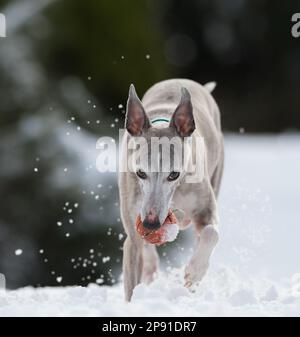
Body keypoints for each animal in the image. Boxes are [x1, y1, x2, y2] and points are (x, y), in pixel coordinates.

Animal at [118, 78, 224, 300]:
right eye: (140, 173)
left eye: (174, 174)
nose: (151, 224)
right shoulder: (133, 223)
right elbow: (134, 252)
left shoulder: (205, 208)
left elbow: (212, 231)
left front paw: (194, 272)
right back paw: (150, 270)